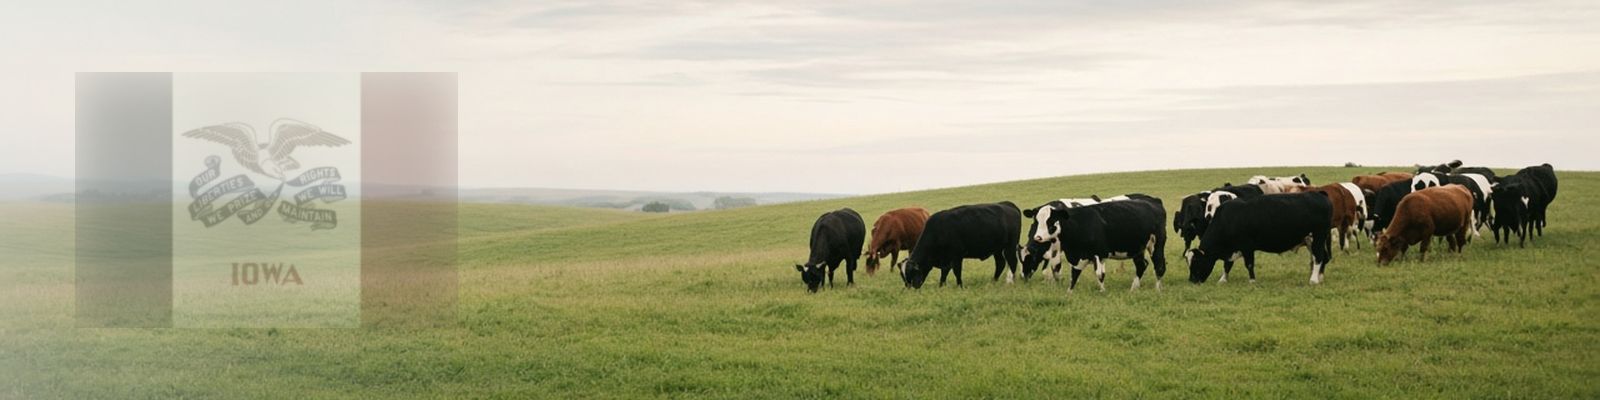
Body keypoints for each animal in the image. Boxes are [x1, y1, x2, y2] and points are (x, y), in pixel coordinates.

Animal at [1023, 196, 1166, 292]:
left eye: (1051, 220)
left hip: (1156, 244)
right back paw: (1133, 288)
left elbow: (1100, 274)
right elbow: (1074, 275)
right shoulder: (1077, 255)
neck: (1079, 223)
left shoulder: (1099, 253)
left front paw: (1103, 291)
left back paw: (1158, 289)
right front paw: (1069, 292)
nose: (1038, 237)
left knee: (1159, 266)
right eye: (1036, 220)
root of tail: (1154, 201)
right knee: (1142, 265)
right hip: (1138, 248)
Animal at [1185, 192, 1333, 285]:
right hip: (1310, 240)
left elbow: (1249, 264)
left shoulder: (1247, 247)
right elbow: (1227, 265)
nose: (1192, 280)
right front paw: (1223, 280)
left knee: (1319, 257)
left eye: (1197, 262)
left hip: (1318, 236)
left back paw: (1313, 280)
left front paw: (1252, 281)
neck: (1228, 218)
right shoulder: (1234, 249)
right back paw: (1320, 277)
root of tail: (1320, 194)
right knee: (1323, 257)